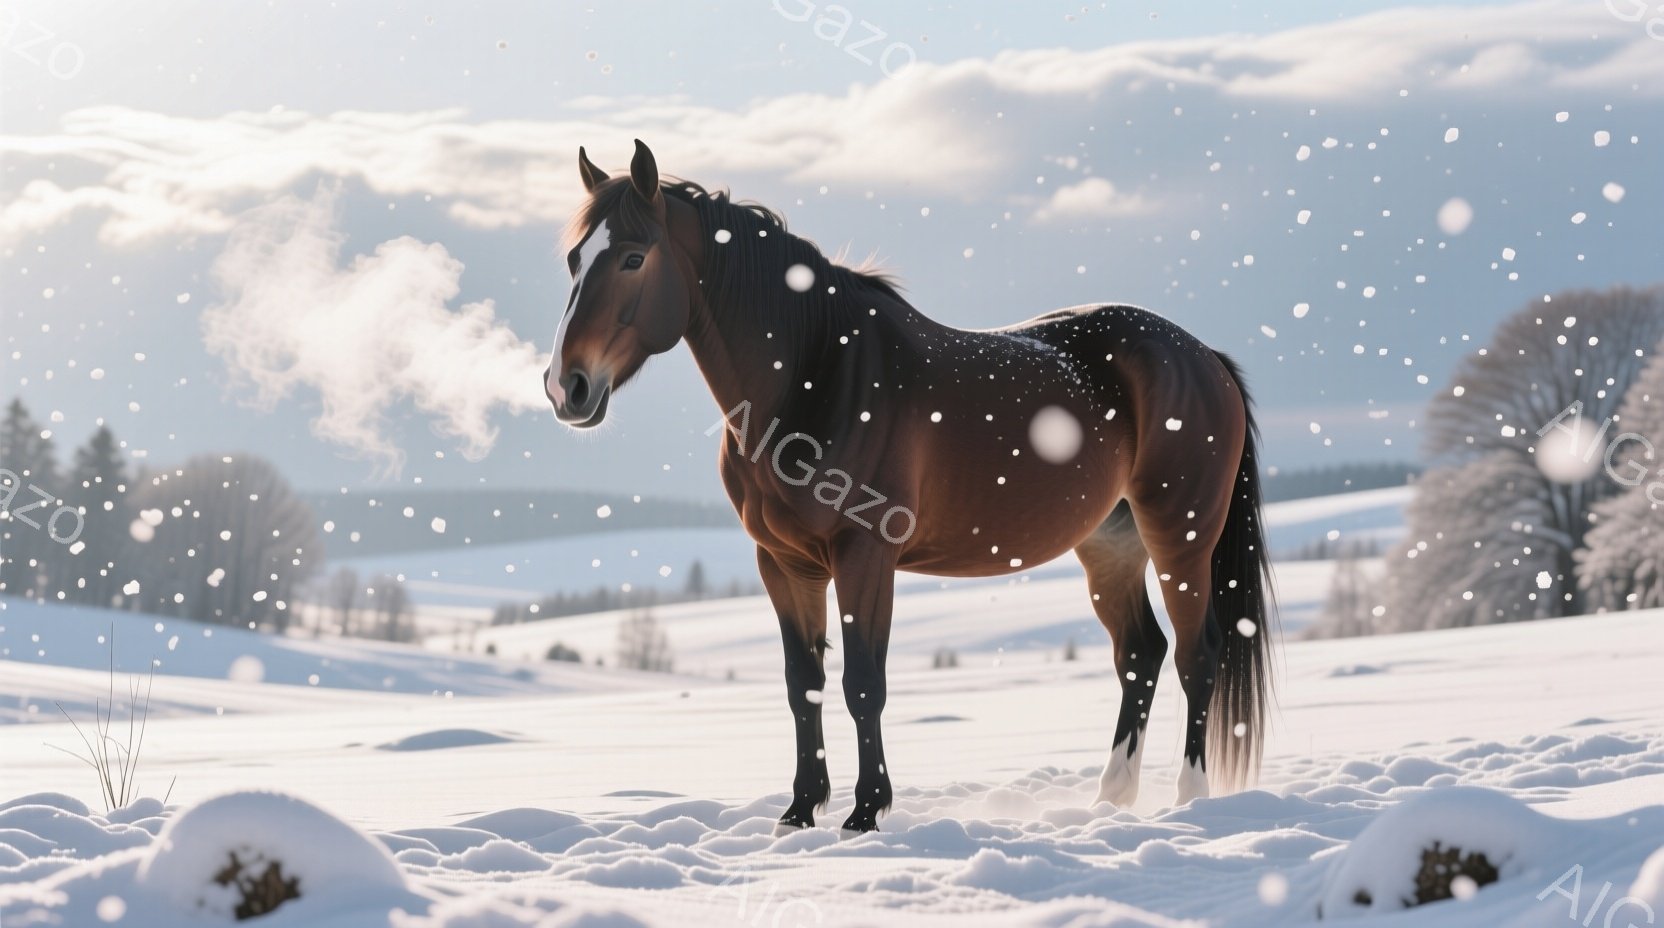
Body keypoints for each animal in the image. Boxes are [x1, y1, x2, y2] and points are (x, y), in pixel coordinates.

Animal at [545, 140, 1275, 833]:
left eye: (633, 258)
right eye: (575, 260)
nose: (565, 387)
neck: (817, 374)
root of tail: (1203, 356)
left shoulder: (865, 555)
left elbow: (864, 683)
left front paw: (866, 812)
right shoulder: (782, 563)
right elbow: (803, 684)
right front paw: (799, 811)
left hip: (1180, 538)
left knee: (1197, 654)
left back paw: (1189, 797)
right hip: (1109, 544)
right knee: (1140, 653)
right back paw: (1109, 800)